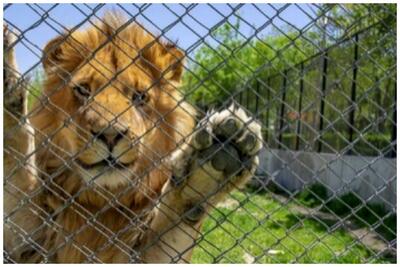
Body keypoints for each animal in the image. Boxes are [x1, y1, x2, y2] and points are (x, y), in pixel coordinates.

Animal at [4, 13, 264, 264]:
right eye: (84, 90)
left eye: (139, 96)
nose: (109, 134)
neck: (102, 202)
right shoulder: (27, 246)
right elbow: (16, 171)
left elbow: (179, 213)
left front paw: (217, 157)